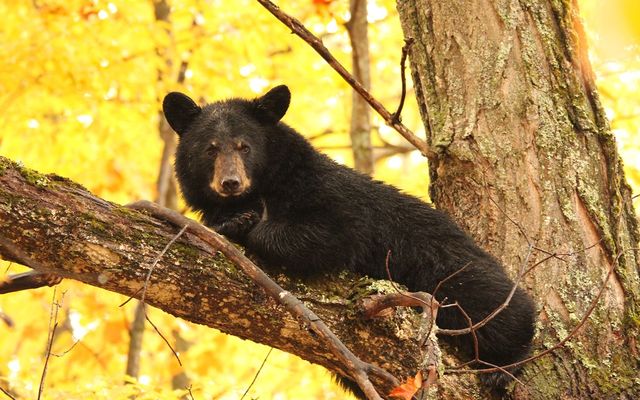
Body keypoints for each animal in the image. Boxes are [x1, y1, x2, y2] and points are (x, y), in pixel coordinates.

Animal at [162, 85, 536, 395]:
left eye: (244, 146)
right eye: (210, 149)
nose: (230, 182)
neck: (266, 188)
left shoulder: (329, 195)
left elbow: (333, 233)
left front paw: (247, 223)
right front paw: (232, 220)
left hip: (448, 264)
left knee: (490, 299)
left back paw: (503, 363)